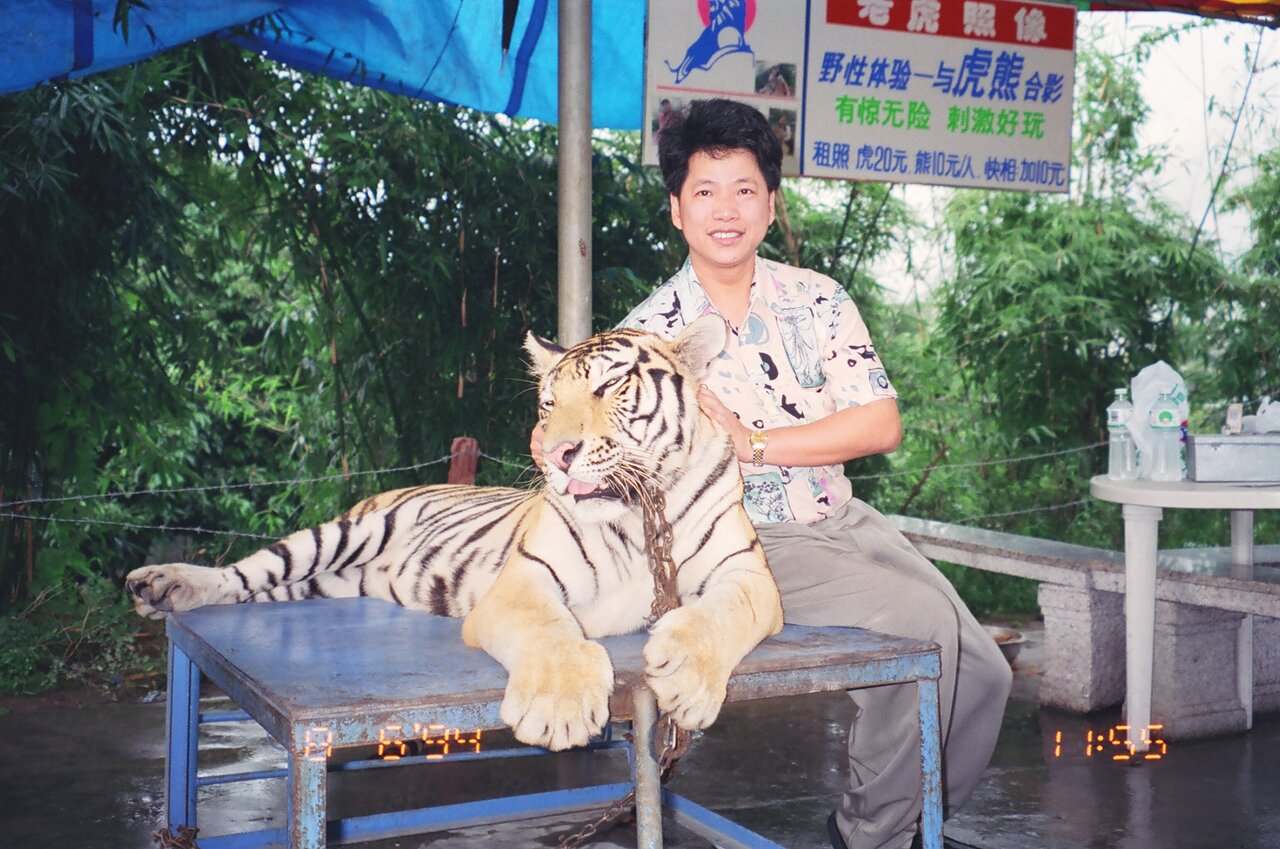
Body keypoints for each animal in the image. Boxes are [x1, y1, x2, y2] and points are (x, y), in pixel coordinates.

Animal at [126, 315, 784, 752]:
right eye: (548, 403)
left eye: (607, 388)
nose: (556, 454)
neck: (633, 513)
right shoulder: (525, 580)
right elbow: (549, 631)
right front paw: (560, 705)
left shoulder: (748, 573)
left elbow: (724, 613)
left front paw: (687, 680)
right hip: (337, 535)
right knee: (241, 573)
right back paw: (162, 584)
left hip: (320, 583)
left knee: (262, 588)